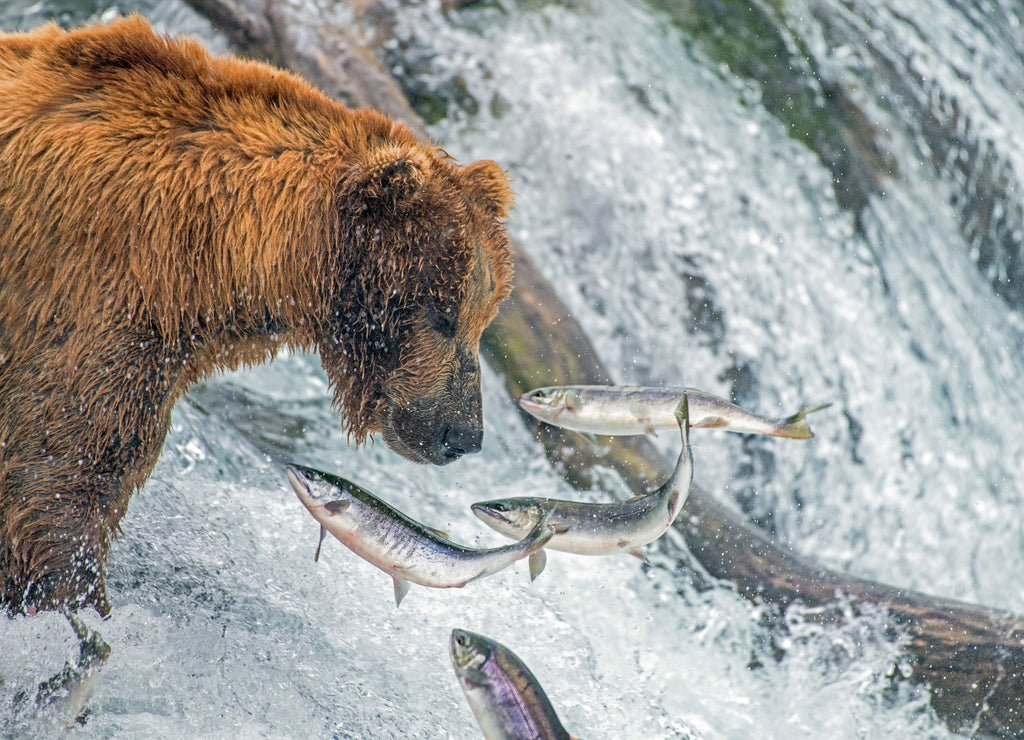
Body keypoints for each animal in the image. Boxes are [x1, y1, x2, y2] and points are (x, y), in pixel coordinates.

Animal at [0, 18, 512, 618]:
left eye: (483, 316)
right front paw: (71, 600)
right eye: (442, 313)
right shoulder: (95, 294)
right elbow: (62, 469)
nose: (464, 434)